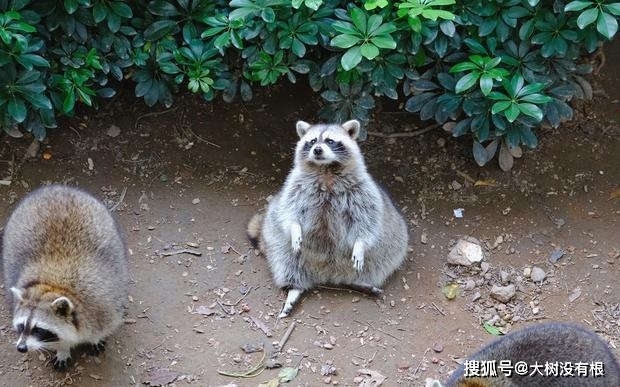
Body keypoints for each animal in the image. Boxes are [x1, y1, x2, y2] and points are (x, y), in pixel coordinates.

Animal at [1, 186, 128, 372]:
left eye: (39, 330)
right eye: (21, 326)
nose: (21, 348)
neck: (53, 287)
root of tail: (57, 187)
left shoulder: (101, 305)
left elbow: (103, 324)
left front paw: (95, 338)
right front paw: (62, 348)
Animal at [245, 121, 410, 318]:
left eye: (330, 141)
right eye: (312, 141)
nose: (317, 149)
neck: (326, 170)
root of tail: (328, 274)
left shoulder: (363, 192)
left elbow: (367, 222)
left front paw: (360, 245)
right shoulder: (294, 187)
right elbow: (290, 212)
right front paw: (295, 229)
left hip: (391, 244)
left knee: (380, 262)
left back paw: (358, 282)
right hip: (276, 242)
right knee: (285, 261)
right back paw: (294, 288)